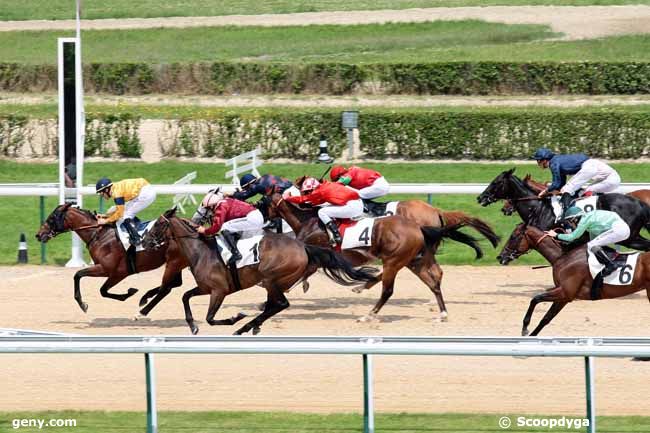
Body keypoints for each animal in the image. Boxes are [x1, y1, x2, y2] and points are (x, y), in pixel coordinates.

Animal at [35, 202, 186, 314]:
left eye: (51, 218)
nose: (38, 235)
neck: (99, 235)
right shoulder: (110, 271)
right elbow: (95, 286)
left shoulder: (113, 271)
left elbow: (85, 279)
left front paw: (83, 305)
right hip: (176, 262)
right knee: (174, 283)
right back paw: (146, 297)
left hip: (174, 262)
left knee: (168, 286)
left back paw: (145, 300)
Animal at [142, 208, 374, 334]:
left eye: (157, 225)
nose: (144, 241)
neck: (202, 251)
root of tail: (303, 246)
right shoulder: (205, 288)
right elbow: (185, 296)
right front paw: (192, 326)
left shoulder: (219, 291)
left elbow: (210, 317)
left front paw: (235, 317)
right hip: (275, 282)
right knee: (274, 305)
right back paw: (252, 326)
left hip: (272, 278)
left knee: (280, 304)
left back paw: (244, 326)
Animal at [260, 192, 488, 320]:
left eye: (262, 201)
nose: (262, 220)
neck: (307, 220)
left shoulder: (317, 253)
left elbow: (298, 276)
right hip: (414, 260)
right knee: (434, 278)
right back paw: (442, 313)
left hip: (395, 260)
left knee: (388, 290)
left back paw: (368, 314)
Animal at [474, 168, 648, 250]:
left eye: (496, 182)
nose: (481, 198)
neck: (539, 209)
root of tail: (640, 203)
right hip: (632, 236)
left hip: (627, 237)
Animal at [496, 223, 648, 338]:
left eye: (513, 237)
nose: (500, 257)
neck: (562, 258)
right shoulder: (563, 297)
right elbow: (546, 318)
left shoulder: (566, 292)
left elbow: (535, 299)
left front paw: (525, 328)